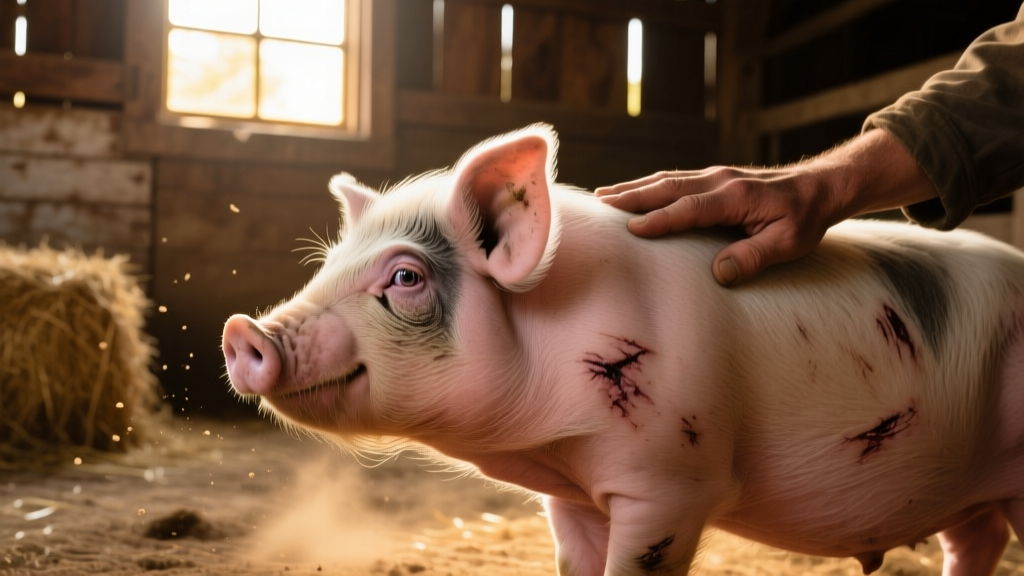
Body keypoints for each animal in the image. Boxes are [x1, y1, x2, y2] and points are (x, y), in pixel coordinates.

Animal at [222, 124, 1024, 576]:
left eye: (405, 277)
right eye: (327, 264)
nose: (242, 331)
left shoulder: (673, 482)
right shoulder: (568, 494)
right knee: (976, 539)